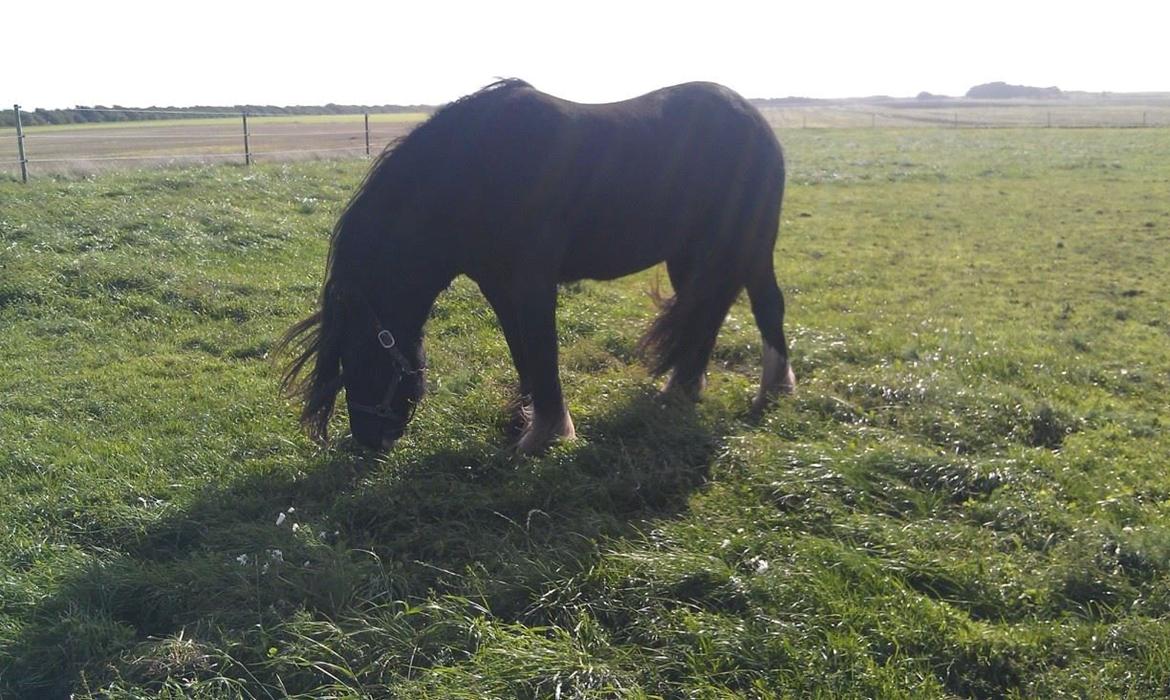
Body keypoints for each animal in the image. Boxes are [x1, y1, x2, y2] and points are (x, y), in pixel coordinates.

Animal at [280, 78, 795, 456]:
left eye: (358, 357)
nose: (369, 441)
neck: (475, 173)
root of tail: (755, 119)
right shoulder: (497, 284)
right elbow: (522, 350)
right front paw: (526, 420)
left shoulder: (533, 281)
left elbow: (543, 350)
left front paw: (546, 434)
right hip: (689, 254)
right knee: (708, 310)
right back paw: (683, 386)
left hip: (750, 244)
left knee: (766, 305)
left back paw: (773, 391)